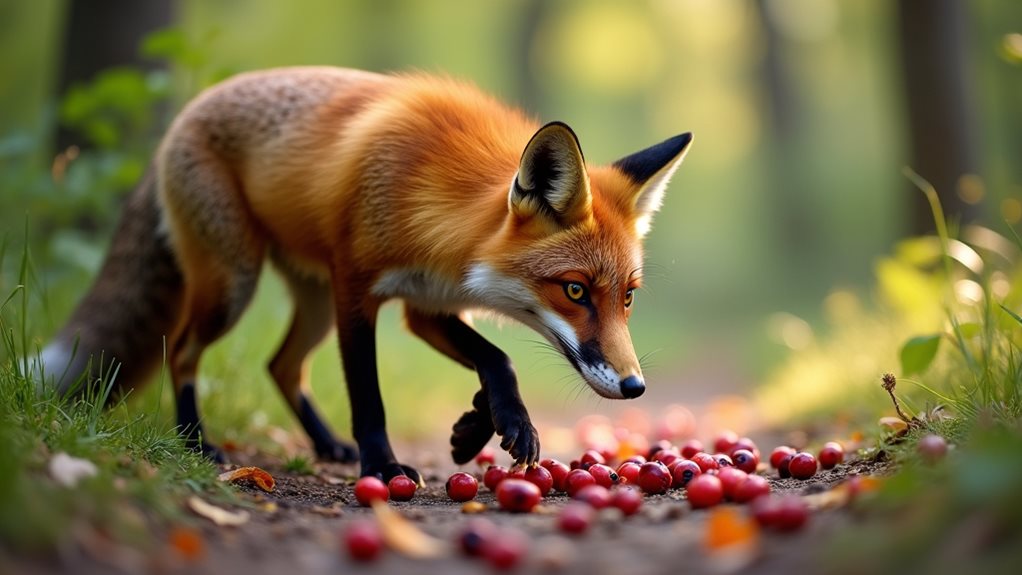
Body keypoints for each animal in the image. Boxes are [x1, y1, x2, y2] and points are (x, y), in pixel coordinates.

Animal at [40, 66, 692, 482]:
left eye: (628, 298)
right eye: (575, 290)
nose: (634, 387)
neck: (434, 212)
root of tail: (181, 118)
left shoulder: (427, 306)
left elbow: (497, 360)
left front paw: (482, 425)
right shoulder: (357, 292)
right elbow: (369, 395)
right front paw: (381, 465)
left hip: (310, 302)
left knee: (281, 365)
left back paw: (326, 443)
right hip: (235, 285)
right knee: (181, 351)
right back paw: (198, 442)